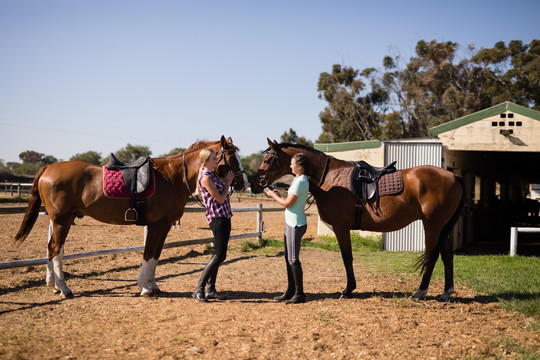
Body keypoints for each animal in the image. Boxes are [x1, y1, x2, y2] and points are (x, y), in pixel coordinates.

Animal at [13, 136, 247, 298]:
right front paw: (144, 287)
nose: (245, 183)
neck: (171, 178)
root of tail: (47, 168)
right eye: (231, 157)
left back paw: (53, 285)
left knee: (50, 248)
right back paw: (64, 288)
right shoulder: (156, 225)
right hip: (62, 220)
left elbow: (156, 254)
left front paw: (153, 285)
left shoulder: (164, 226)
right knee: (56, 249)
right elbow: (148, 253)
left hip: (62, 220)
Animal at [250, 140, 464, 300]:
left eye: (267, 158)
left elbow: (347, 257)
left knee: (432, 256)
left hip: (433, 225)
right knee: (447, 255)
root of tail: (453, 176)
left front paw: (348, 289)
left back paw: (421, 291)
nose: (254, 184)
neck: (330, 179)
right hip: (443, 227)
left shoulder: (341, 227)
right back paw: (446, 292)